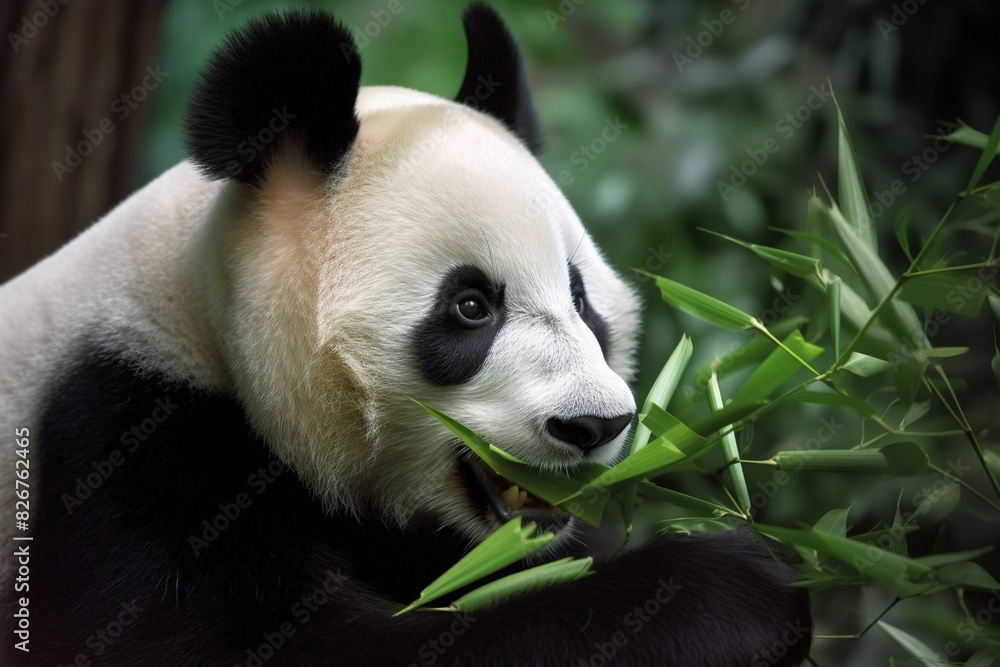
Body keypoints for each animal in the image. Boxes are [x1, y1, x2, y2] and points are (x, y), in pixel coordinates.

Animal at [0, 5, 811, 666]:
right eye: (471, 306)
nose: (593, 424)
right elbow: (283, 647)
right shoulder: (130, 444)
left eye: (581, 299)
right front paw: (739, 586)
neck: (199, 323)